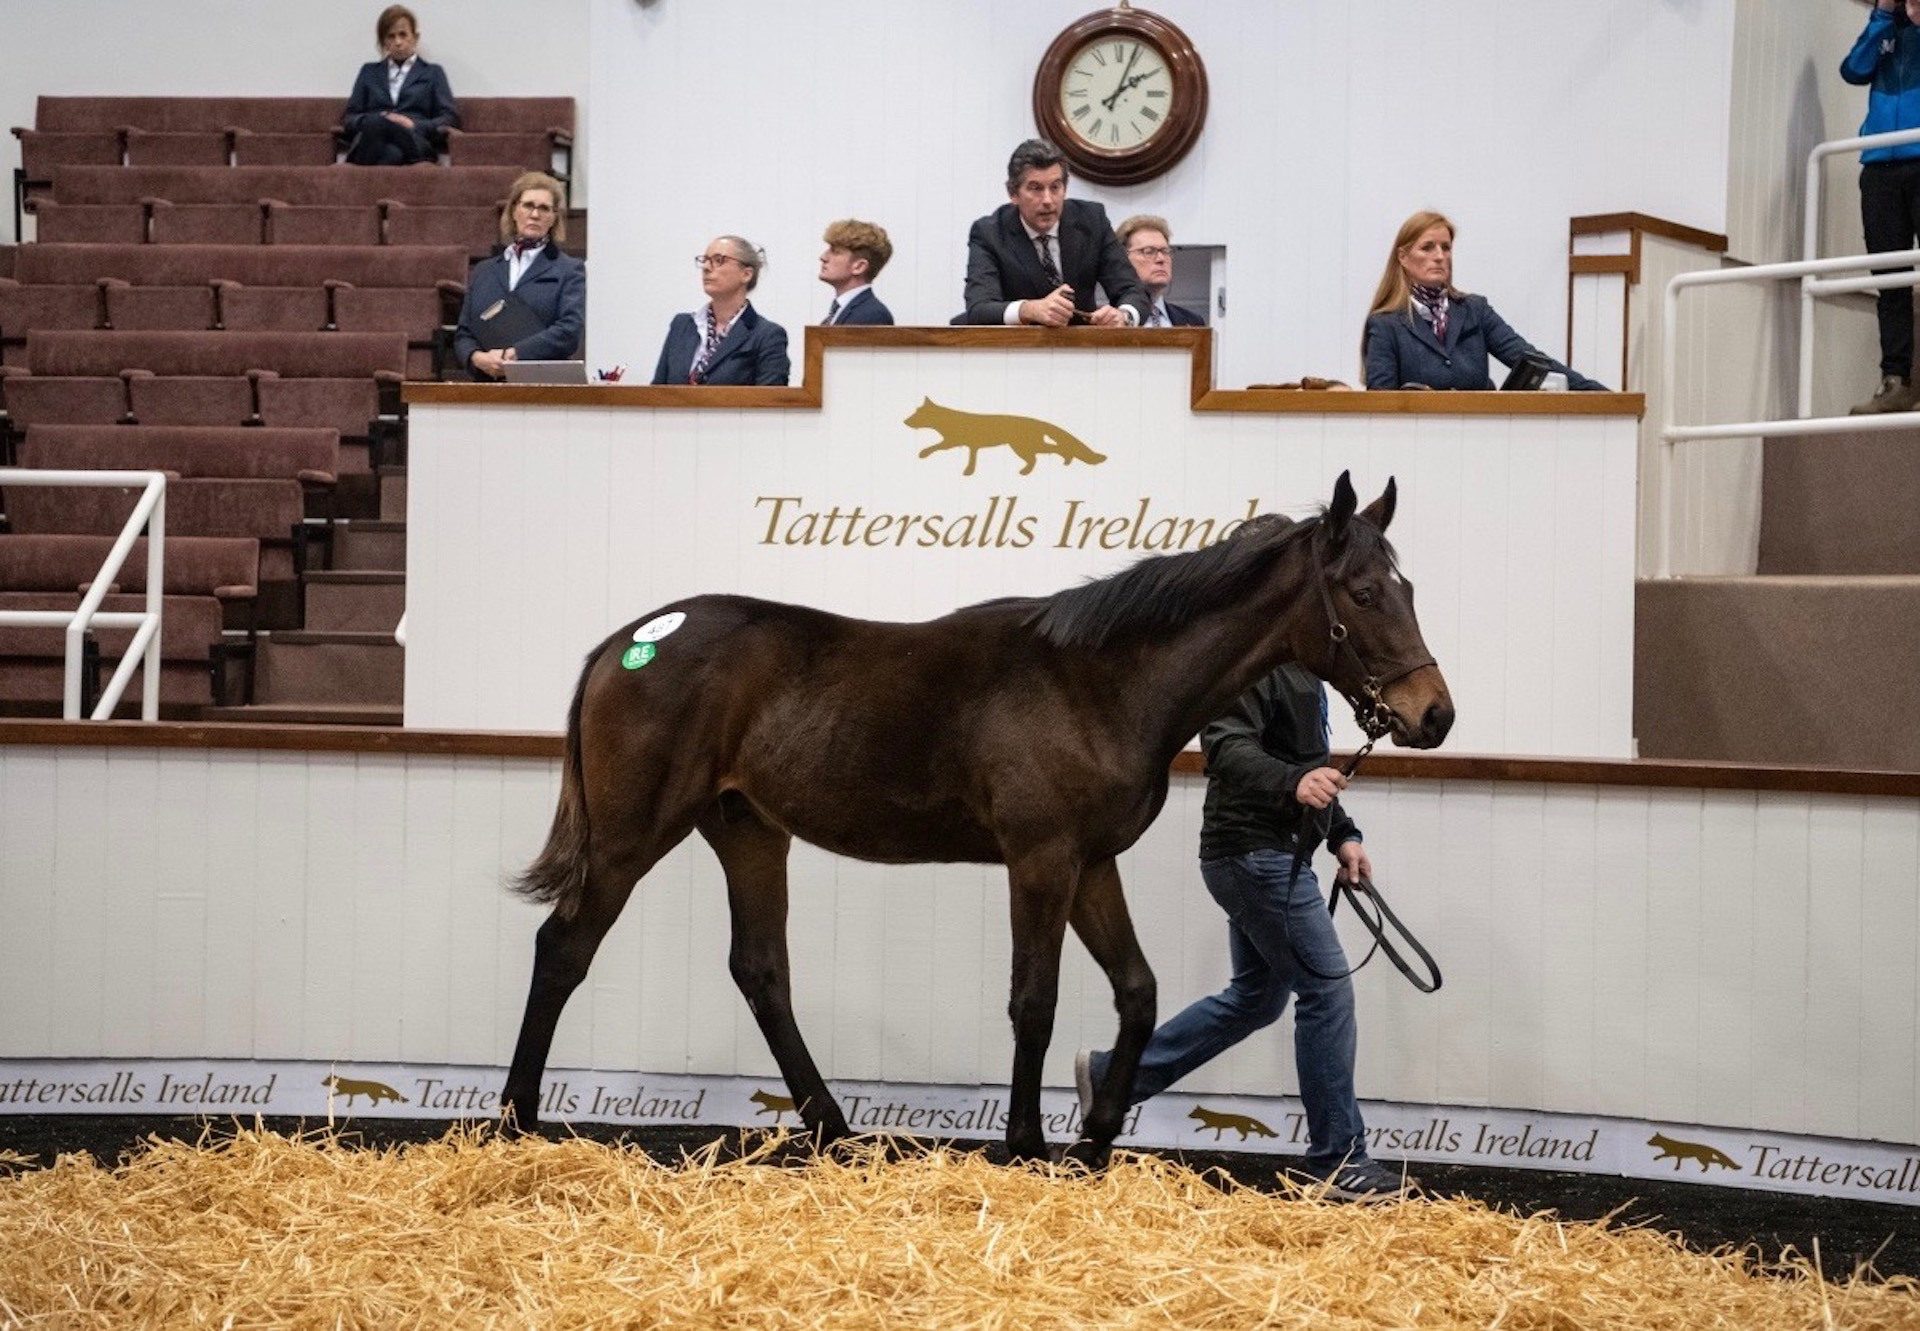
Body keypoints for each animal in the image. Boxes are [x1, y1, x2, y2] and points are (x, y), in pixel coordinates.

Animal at [501, 471, 1453, 1165]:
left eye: (1408, 584)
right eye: (1363, 591)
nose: (1434, 714)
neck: (1098, 683)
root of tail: (622, 644)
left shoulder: (1089, 862)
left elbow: (1137, 990)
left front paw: (1097, 1133)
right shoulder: (1040, 859)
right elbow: (1034, 998)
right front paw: (1025, 1142)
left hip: (746, 828)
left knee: (760, 969)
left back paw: (835, 1126)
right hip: (633, 835)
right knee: (565, 948)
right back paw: (515, 1118)